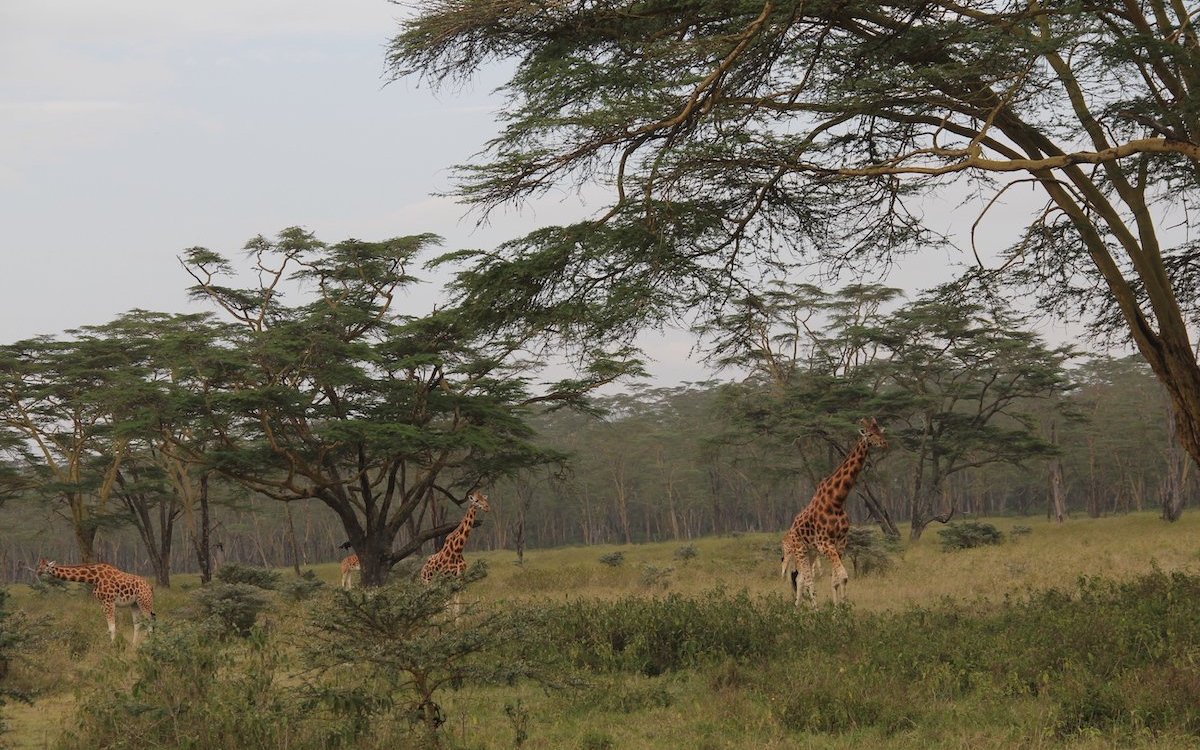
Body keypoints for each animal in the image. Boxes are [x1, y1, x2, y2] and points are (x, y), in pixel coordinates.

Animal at [782, 417, 888, 604]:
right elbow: (843, 576)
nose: (884, 443)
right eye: (869, 434)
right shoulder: (825, 544)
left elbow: (837, 580)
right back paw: (813, 609)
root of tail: (792, 528)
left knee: (800, 578)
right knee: (807, 580)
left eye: (880, 431)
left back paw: (798, 608)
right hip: (800, 549)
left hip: (811, 551)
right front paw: (840, 607)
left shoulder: (840, 543)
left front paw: (839, 606)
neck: (837, 500)